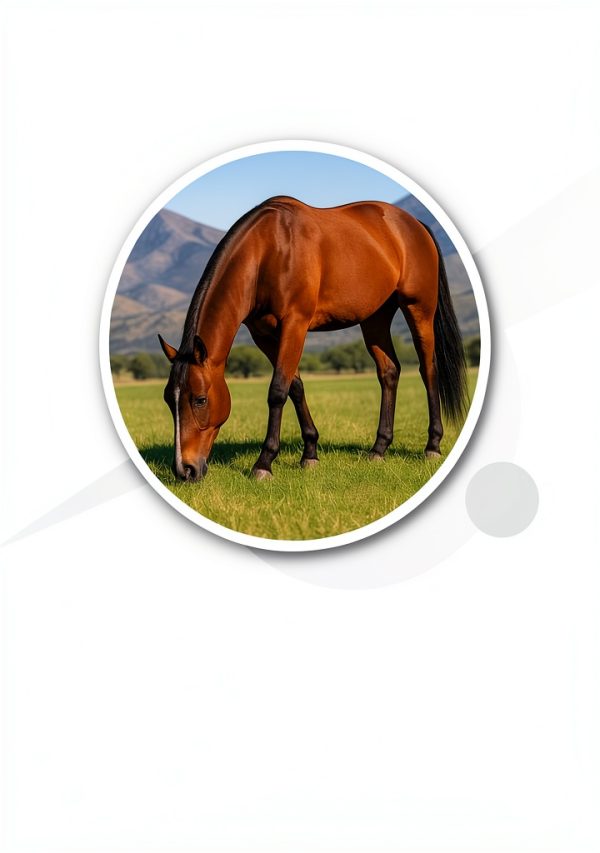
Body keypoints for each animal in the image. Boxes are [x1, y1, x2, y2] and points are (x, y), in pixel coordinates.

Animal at [158, 196, 468, 482]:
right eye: (168, 399)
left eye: (199, 400)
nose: (184, 469)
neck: (268, 250)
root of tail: (415, 225)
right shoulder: (263, 334)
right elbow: (295, 386)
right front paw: (310, 453)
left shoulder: (295, 324)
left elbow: (277, 391)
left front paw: (264, 463)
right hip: (375, 318)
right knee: (389, 372)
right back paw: (378, 449)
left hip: (419, 310)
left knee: (428, 370)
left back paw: (432, 446)